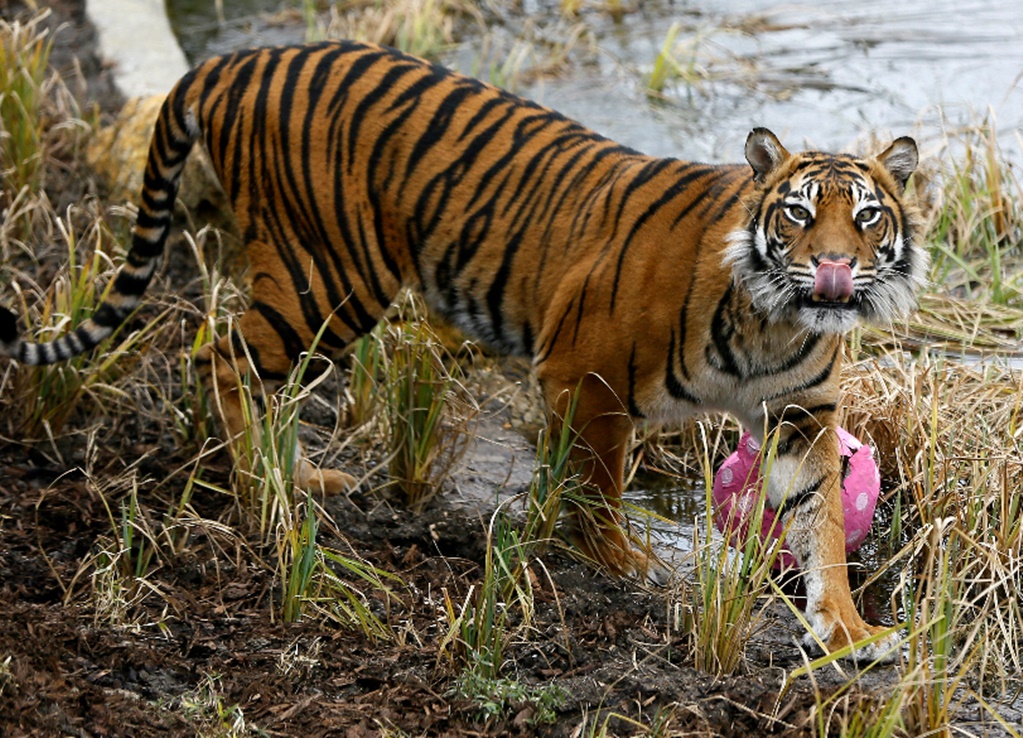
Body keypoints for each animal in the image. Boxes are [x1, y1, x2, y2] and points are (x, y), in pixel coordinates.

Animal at [0, 40, 924, 659]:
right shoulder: (584, 370)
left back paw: (300, 476)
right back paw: (264, 491)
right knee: (219, 355)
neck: (775, 320)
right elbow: (595, 483)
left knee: (230, 355)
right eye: (797, 214)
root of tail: (239, 58)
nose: (833, 268)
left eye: (865, 216)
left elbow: (820, 529)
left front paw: (849, 630)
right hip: (328, 276)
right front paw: (621, 562)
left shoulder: (800, 417)